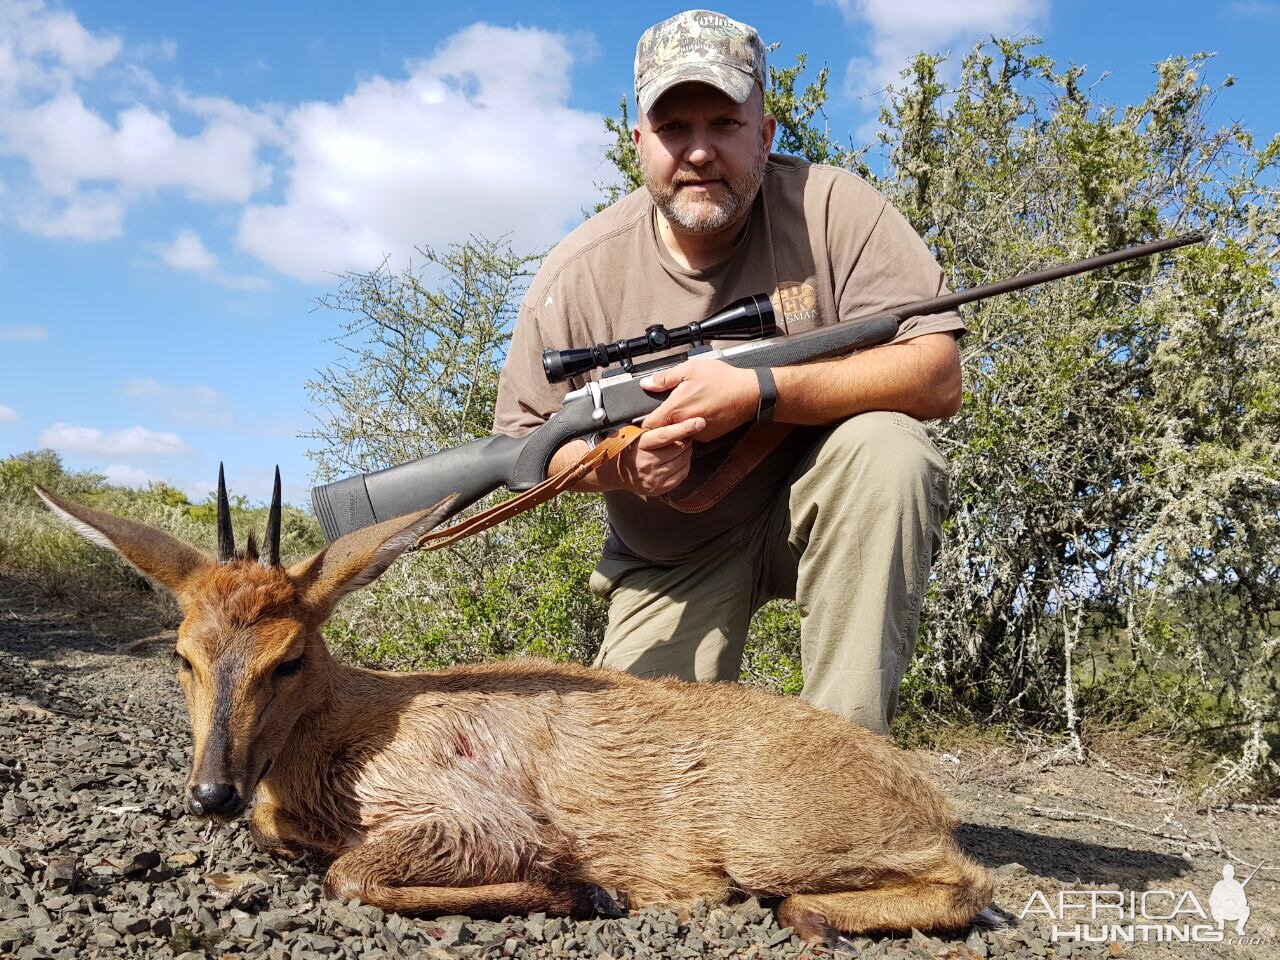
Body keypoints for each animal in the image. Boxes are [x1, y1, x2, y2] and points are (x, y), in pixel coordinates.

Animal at [30, 471, 988, 942]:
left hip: (771, 844)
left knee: (962, 888)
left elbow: (351, 874)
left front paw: (583, 891)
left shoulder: (482, 818)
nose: (211, 793)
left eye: (290, 657)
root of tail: (926, 796)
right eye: (183, 655)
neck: (354, 728)